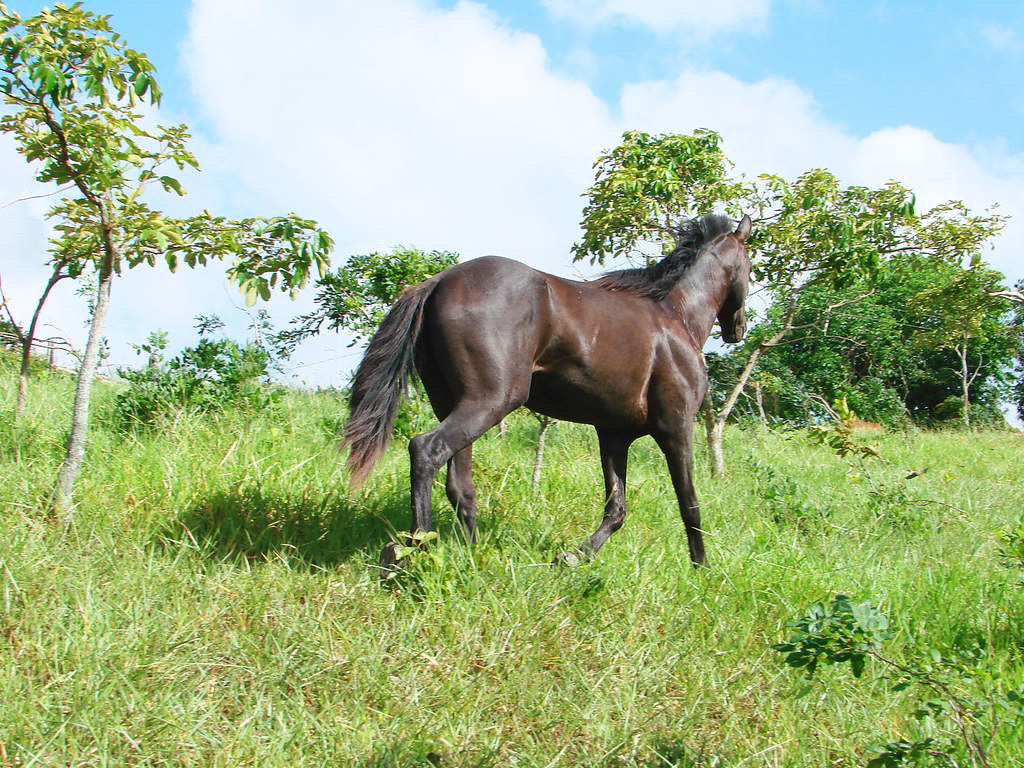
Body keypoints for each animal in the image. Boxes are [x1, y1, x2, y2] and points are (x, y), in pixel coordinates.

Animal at [343, 213, 752, 569]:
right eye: (749, 265)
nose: (739, 329)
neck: (675, 318)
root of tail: (438, 282)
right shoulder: (676, 428)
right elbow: (689, 503)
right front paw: (702, 569)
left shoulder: (614, 435)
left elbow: (616, 508)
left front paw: (573, 557)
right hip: (490, 401)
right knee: (425, 450)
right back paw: (414, 549)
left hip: (454, 404)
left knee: (460, 484)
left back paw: (473, 558)